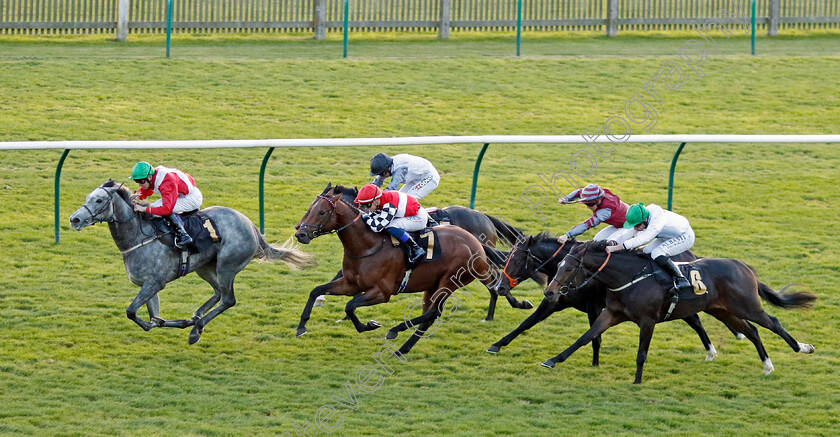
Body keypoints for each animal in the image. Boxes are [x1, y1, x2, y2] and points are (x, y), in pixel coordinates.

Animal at [69, 181, 316, 344]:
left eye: (99, 200)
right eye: (87, 197)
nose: (75, 219)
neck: (138, 236)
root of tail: (252, 227)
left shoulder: (154, 283)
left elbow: (132, 311)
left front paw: (183, 324)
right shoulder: (148, 285)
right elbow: (153, 317)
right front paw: (171, 322)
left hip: (227, 266)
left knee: (228, 299)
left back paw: (196, 329)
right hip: (205, 267)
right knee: (217, 294)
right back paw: (196, 317)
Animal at [296, 184, 502, 354]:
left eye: (322, 212)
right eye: (309, 208)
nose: (300, 233)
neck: (368, 245)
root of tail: (477, 243)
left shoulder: (382, 292)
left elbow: (350, 306)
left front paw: (370, 325)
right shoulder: (351, 284)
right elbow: (317, 290)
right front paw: (301, 327)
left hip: (450, 281)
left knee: (433, 312)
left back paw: (395, 331)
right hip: (433, 285)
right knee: (429, 315)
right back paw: (402, 349)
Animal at [488, 233, 720, 362]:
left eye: (517, 260)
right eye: (508, 257)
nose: (500, 287)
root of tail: (691, 255)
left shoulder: (594, 306)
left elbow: (594, 337)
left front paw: (595, 363)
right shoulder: (554, 302)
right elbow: (526, 323)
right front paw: (496, 345)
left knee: (696, 321)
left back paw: (711, 351)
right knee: (695, 319)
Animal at [544, 240, 812, 384]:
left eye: (568, 268)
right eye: (559, 265)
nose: (549, 292)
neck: (629, 277)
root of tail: (744, 266)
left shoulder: (648, 321)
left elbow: (641, 353)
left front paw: (637, 380)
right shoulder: (611, 313)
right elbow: (585, 337)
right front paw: (552, 360)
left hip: (748, 306)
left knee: (773, 323)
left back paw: (802, 348)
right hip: (722, 310)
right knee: (753, 331)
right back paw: (767, 366)